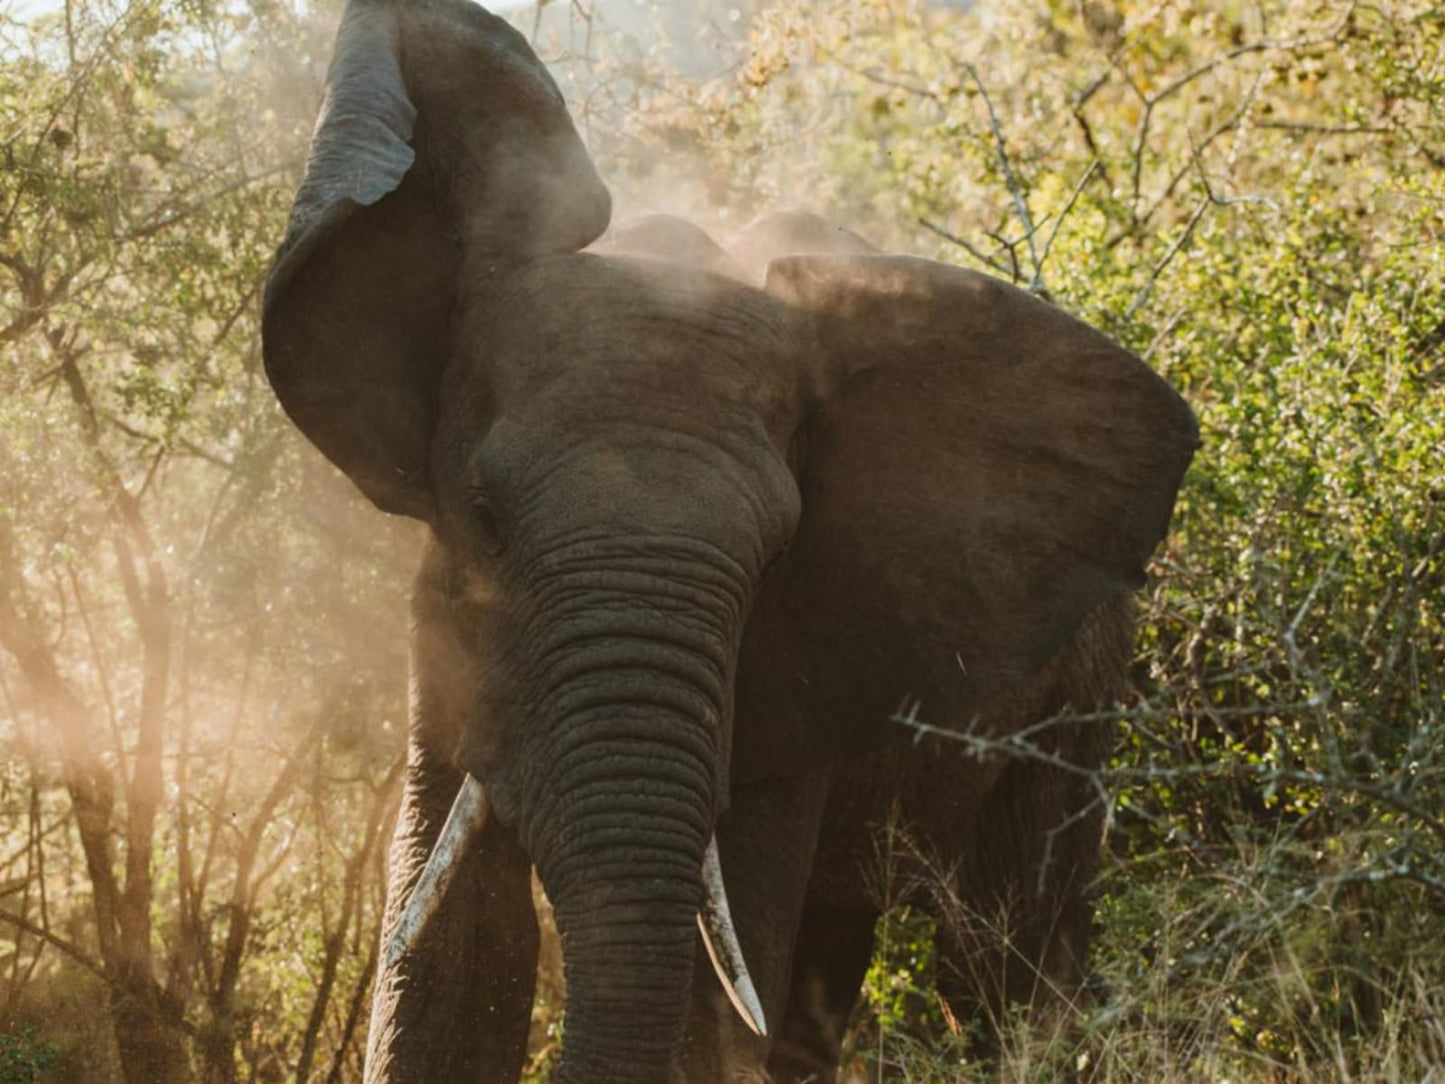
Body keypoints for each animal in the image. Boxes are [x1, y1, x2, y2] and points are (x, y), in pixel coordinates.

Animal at [260, 0, 1196, 1081]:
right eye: (484, 520)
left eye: (777, 557)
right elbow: (455, 954)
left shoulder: (797, 659)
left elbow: (714, 973)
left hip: (1075, 700)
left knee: (1003, 958)